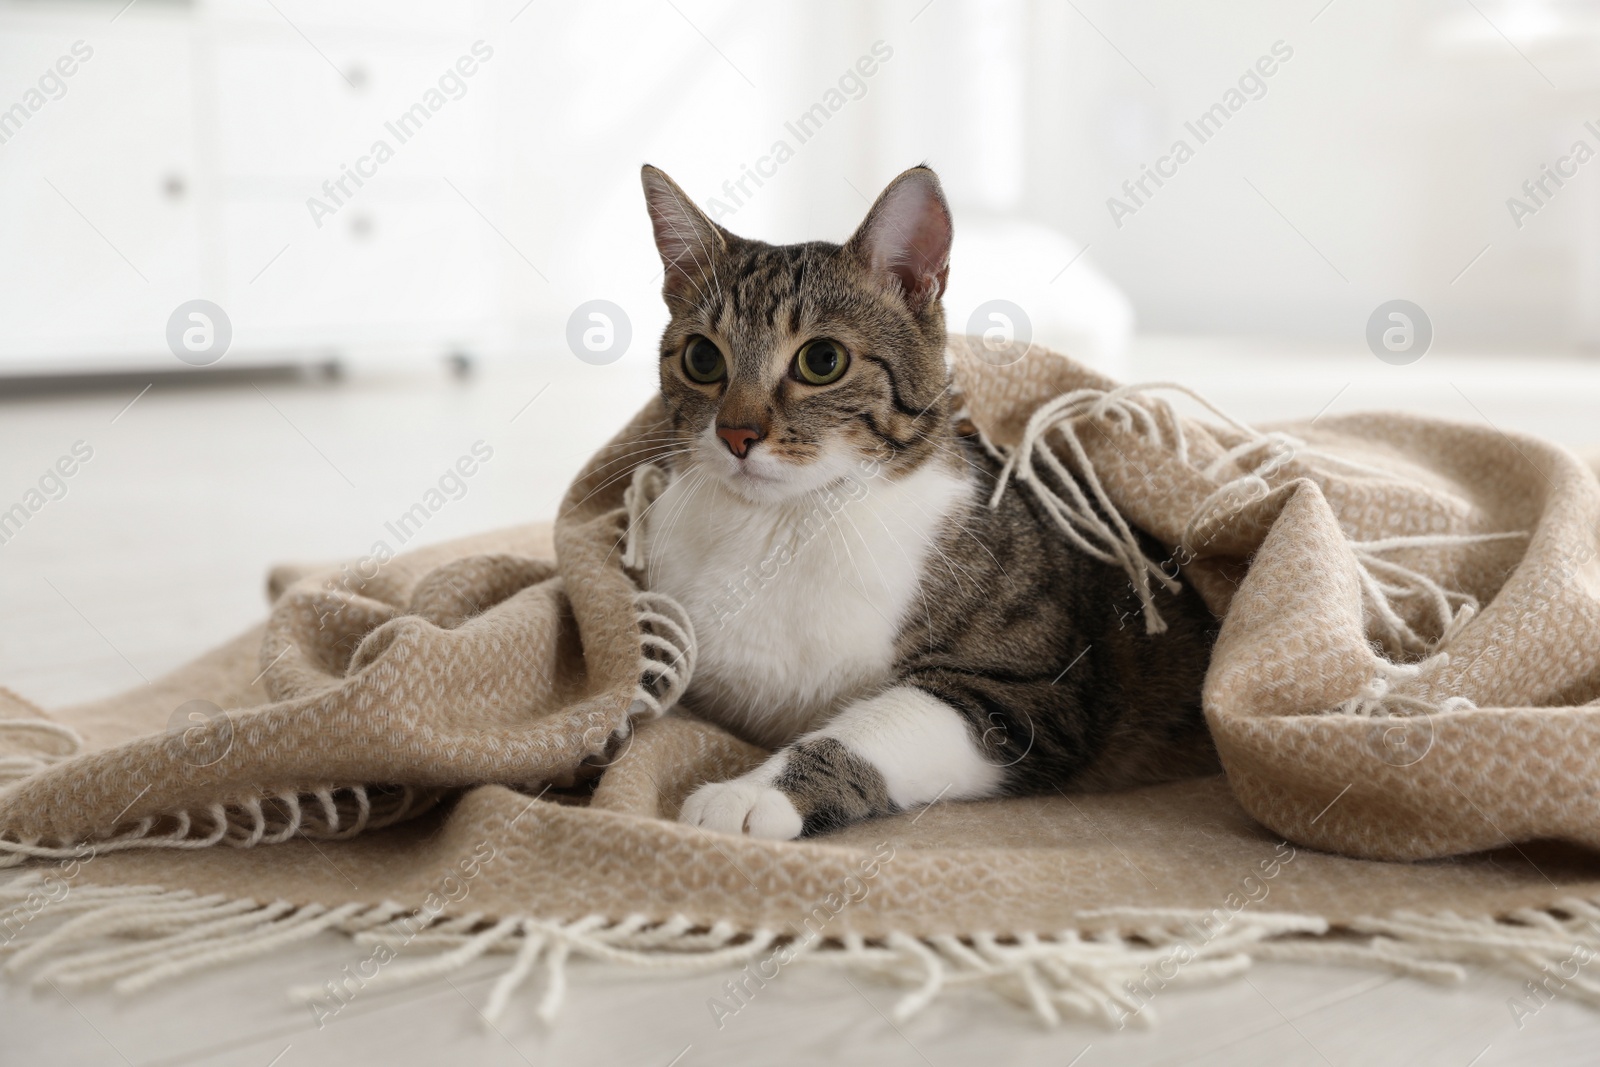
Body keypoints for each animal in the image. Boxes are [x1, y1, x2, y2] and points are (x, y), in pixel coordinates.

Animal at [630, 163, 1216, 838]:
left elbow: (880, 723)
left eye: (822, 360)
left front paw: (752, 794)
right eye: (702, 357)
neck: (786, 526)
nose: (735, 433)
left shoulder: (1031, 694)